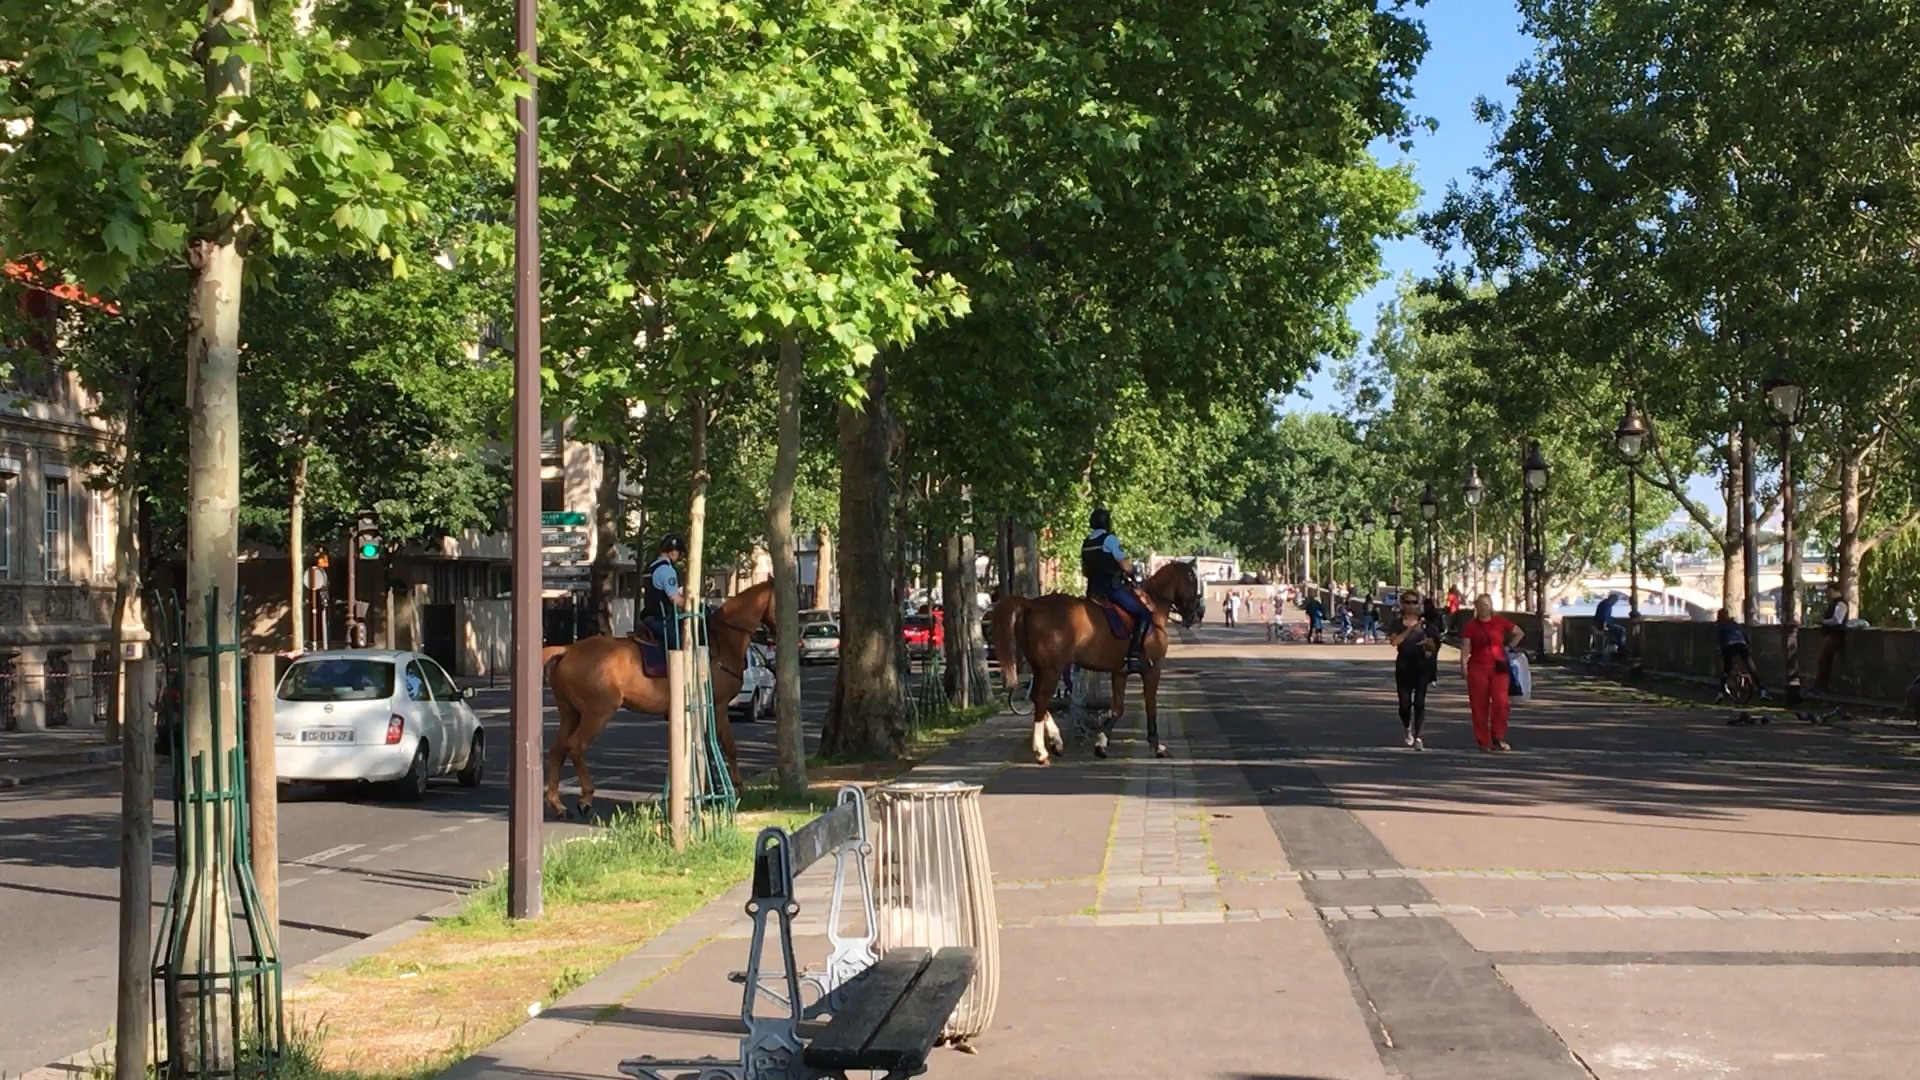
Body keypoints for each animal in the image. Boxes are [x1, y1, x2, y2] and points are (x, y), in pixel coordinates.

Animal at [537, 576, 775, 810]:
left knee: (558, 750)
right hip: (597, 713)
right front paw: (735, 789)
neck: (722, 641)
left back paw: (557, 804)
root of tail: (567, 649)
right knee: (576, 746)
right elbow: (726, 745)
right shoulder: (718, 705)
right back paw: (585, 797)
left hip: (571, 712)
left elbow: (702, 746)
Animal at [990, 557, 1198, 760]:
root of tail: (1032, 604)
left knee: (1035, 698)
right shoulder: (1152, 671)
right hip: (1052, 669)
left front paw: (1101, 743)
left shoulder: (1119, 672)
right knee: (1041, 699)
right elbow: (1150, 707)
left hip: (1040, 667)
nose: (1196, 614)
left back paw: (1056, 741)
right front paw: (1157, 746)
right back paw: (1042, 750)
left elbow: (1118, 709)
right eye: (1193, 580)